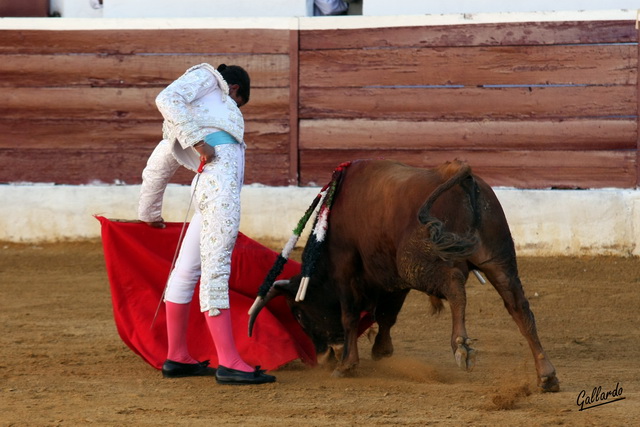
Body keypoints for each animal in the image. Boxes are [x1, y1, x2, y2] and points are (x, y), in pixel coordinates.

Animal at [250, 159, 560, 392]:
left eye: (299, 314)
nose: (323, 357)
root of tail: (460, 176)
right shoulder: (392, 277)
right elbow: (388, 315)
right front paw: (381, 350)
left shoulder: (346, 268)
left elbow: (351, 316)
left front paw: (347, 365)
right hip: (498, 259)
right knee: (520, 309)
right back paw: (546, 375)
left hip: (418, 264)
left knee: (455, 287)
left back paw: (461, 346)